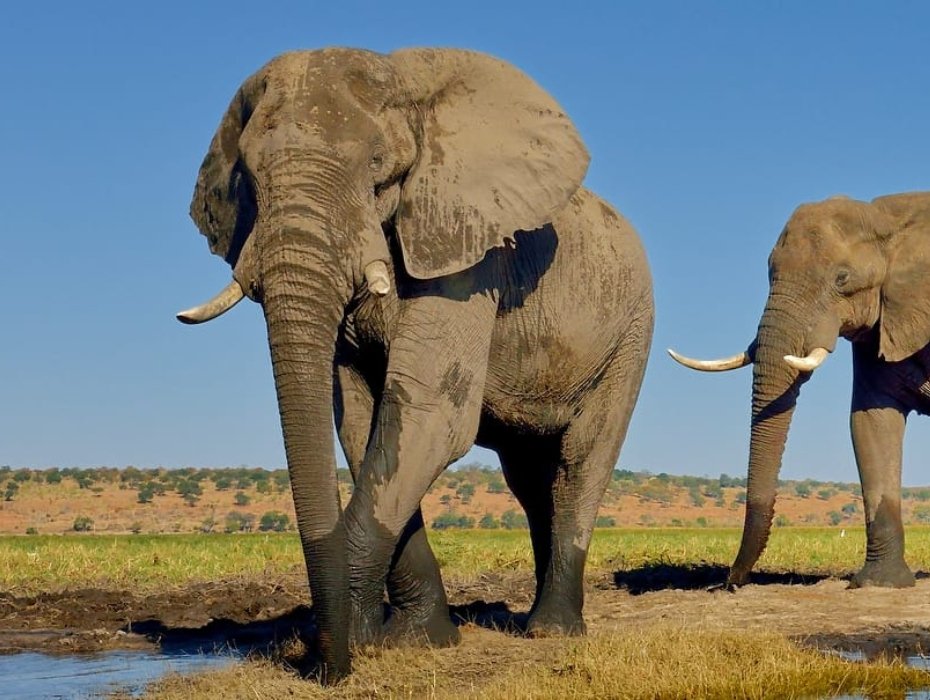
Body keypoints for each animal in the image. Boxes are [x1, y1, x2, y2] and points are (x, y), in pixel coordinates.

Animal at [177, 47, 653, 680]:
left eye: (380, 167)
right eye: (248, 176)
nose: (329, 668)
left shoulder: (467, 255)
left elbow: (431, 418)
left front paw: (359, 640)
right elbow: (363, 425)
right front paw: (415, 641)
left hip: (630, 335)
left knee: (581, 461)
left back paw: (551, 631)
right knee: (530, 480)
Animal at [671, 191, 930, 589]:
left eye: (842, 278)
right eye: (769, 272)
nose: (729, 582)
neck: (886, 217)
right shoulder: (881, 323)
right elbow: (871, 422)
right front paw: (879, 583)